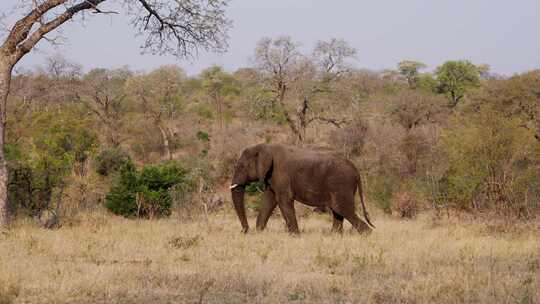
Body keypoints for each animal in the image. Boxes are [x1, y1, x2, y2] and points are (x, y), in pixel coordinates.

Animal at [229, 144, 376, 234]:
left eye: (242, 167)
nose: (245, 230)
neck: (265, 147)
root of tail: (356, 171)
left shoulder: (281, 174)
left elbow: (283, 200)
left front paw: (295, 235)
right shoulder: (271, 177)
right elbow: (269, 200)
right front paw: (259, 231)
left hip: (342, 185)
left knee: (342, 209)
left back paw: (368, 234)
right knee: (338, 212)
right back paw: (333, 235)